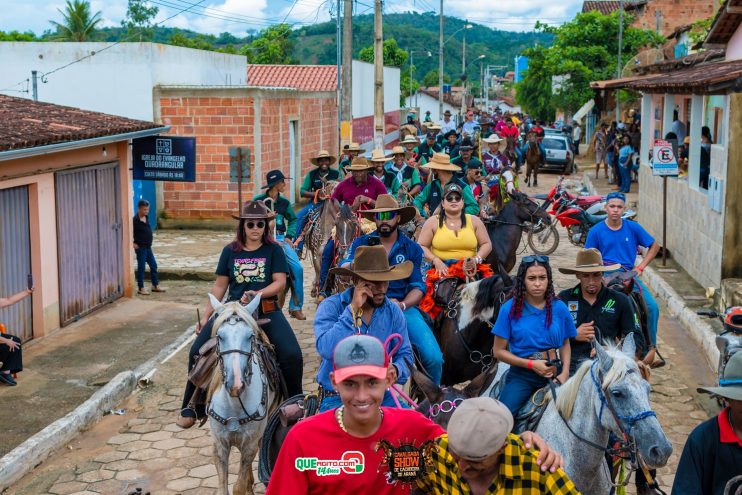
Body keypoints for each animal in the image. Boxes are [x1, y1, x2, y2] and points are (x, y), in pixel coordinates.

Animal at [206, 294, 282, 495]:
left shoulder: (250, 444)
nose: (236, 384)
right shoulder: (220, 445)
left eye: (250, 336)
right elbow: (223, 488)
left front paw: (246, 486)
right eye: (220, 336)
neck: (234, 403)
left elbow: (238, 487)